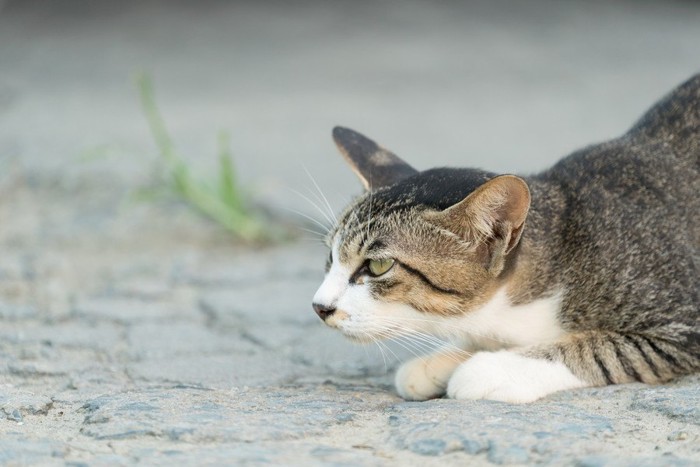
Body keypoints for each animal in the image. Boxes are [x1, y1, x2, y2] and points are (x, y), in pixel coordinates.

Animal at [314, 75, 700, 404]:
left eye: (379, 265)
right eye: (331, 257)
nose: (319, 307)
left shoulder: (684, 322)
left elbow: (603, 349)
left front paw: (493, 368)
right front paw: (441, 361)